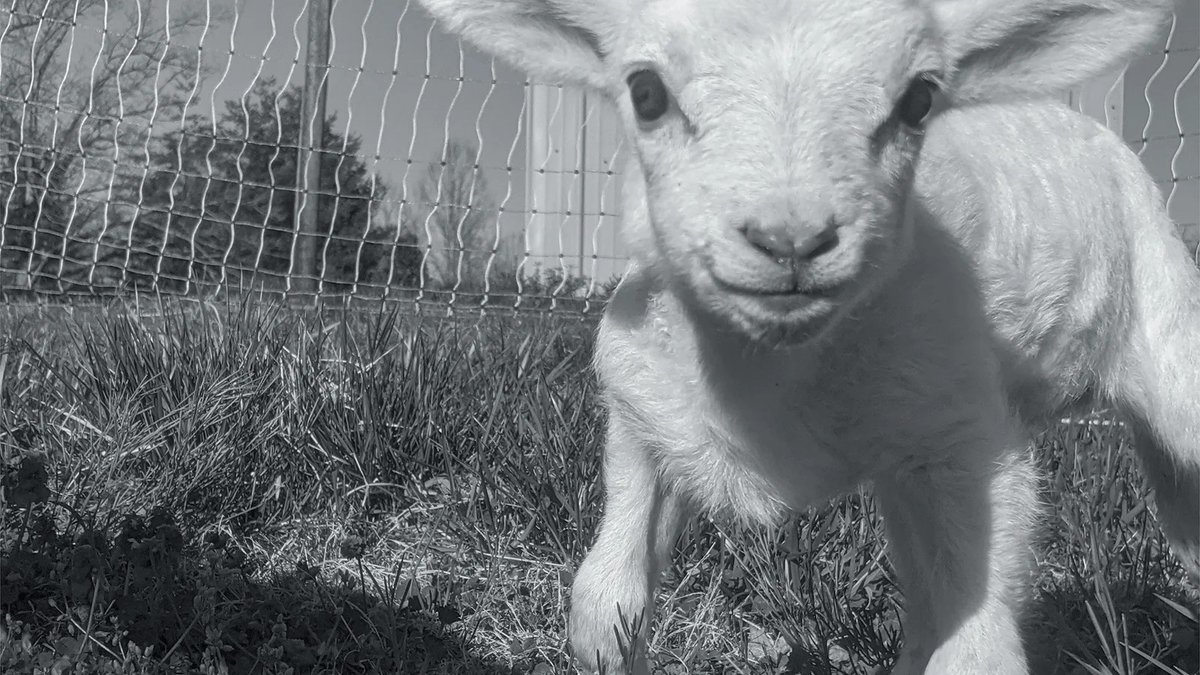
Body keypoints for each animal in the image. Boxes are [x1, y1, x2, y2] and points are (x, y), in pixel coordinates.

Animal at [415, 0, 1197, 672]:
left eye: (919, 101)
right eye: (645, 92)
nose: (791, 239)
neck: (769, 372)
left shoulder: (965, 441)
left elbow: (978, 649)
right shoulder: (644, 411)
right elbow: (604, 604)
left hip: (1167, 348)